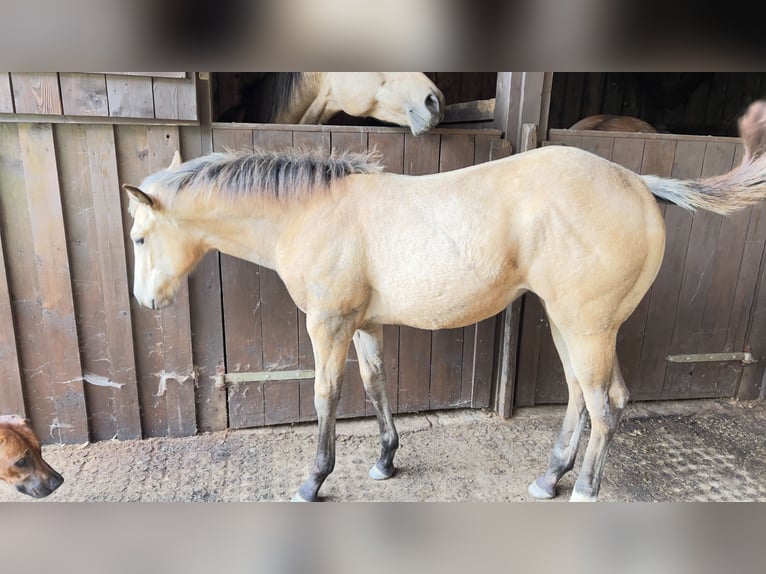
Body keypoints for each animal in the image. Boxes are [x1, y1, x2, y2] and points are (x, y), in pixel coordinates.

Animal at [123, 100, 766, 504]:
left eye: (139, 238)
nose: (147, 301)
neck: (312, 211)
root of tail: (637, 182)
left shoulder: (327, 325)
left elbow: (327, 396)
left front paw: (313, 481)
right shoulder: (362, 324)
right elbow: (376, 384)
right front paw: (385, 460)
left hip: (586, 327)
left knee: (604, 408)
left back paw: (583, 490)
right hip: (574, 325)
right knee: (586, 399)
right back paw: (550, 477)